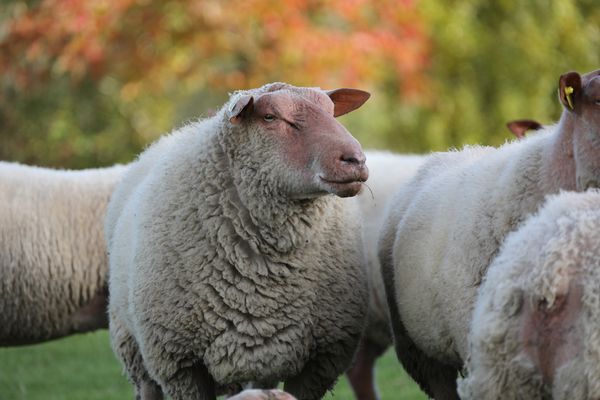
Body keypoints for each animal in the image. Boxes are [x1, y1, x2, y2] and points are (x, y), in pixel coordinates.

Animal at [105, 82, 372, 400]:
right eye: (270, 117)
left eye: (333, 112)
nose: (355, 161)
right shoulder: (181, 365)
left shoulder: (319, 362)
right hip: (133, 346)